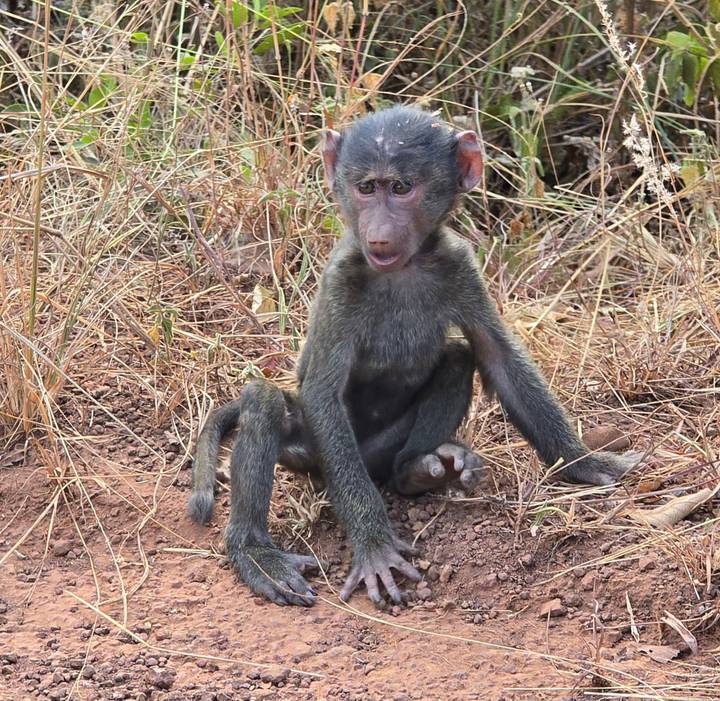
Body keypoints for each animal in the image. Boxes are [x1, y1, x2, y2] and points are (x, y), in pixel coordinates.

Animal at [188, 106, 641, 608]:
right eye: (367, 188)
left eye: (402, 188)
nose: (380, 235)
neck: (400, 270)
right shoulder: (341, 281)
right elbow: (322, 392)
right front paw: (374, 548)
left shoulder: (459, 264)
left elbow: (497, 356)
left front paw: (584, 463)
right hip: (311, 455)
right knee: (265, 401)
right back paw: (254, 553)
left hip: (381, 453)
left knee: (458, 359)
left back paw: (417, 472)